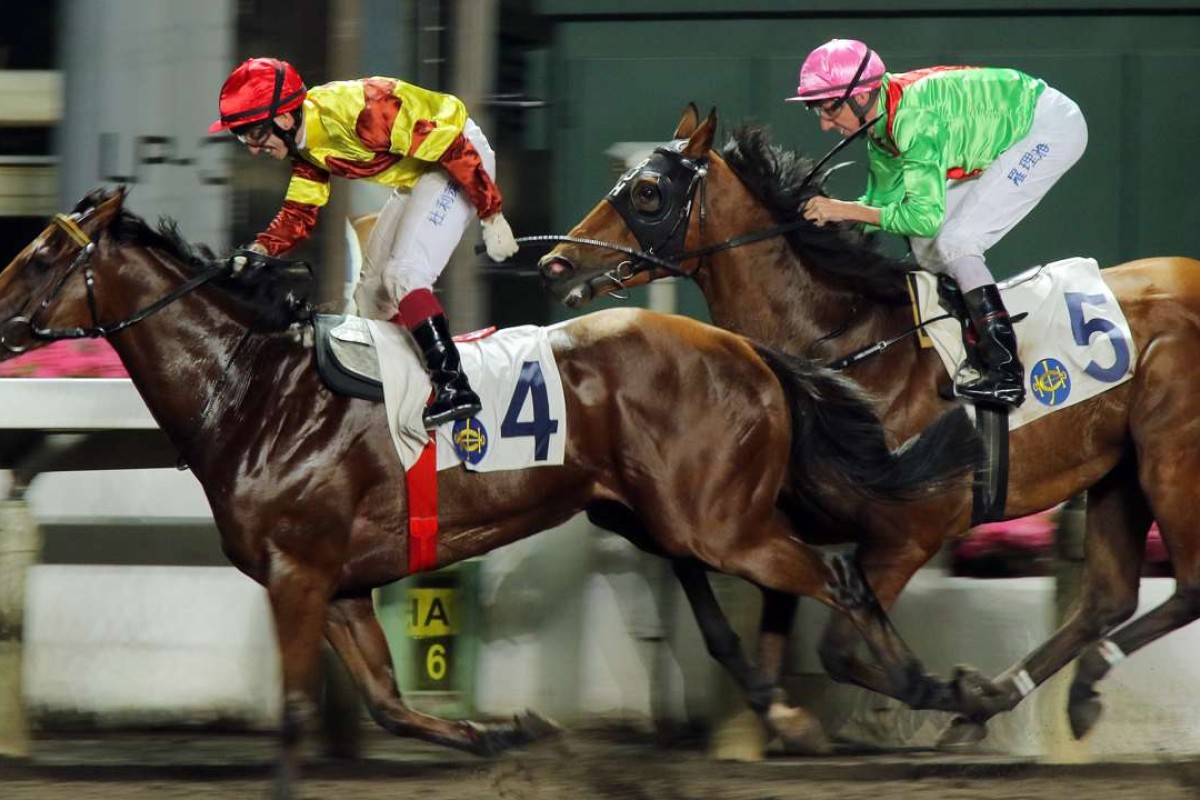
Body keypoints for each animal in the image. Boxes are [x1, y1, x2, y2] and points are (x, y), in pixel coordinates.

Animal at [0, 185, 984, 796]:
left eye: (43, 254)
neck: (255, 393)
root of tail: (747, 347)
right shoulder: (337, 582)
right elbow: (390, 706)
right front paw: (508, 733)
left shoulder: (299, 574)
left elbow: (293, 713)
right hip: (659, 512)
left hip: (718, 522)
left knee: (839, 576)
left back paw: (924, 691)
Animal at [537, 103, 1200, 748]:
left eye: (648, 192)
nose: (555, 261)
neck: (845, 348)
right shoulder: (768, 523)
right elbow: (751, 619)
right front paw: (787, 718)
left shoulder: (908, 534)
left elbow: (838, 648)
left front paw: (950, 692)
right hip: (1119, 471)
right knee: (1106, 600)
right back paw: (1040, 695)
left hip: (1169, 458)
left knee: (1186, 587)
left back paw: (1043, 691)